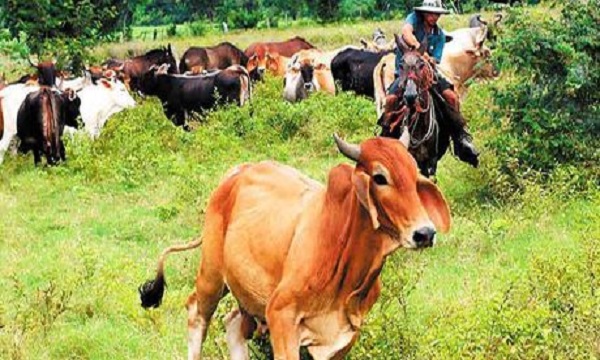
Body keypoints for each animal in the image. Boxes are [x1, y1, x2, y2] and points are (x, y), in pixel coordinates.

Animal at [139, 133, 450, 360]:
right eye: (380, 178)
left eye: (414, 175)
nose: (425, 233)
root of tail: (236, 173)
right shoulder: (281, 316)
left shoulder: (344, 335)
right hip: (212, 275)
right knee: (197, 313)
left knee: (233, 324)